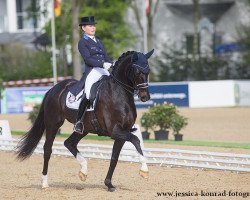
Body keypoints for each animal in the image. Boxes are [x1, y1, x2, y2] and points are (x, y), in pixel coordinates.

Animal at [15, 49, 154, 191]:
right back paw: (44, 183)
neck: (118, 93)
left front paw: (108, 184)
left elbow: (114, 158)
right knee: (48, 149)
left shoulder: (122, 133)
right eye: (137, 71)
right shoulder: (115, 131)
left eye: (148, 71)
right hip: (53, 123)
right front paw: (144, 170)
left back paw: (83, 170)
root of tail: (53, 89)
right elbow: (136, 140)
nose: (145, 97)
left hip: (84, 128)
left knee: (69, 143)